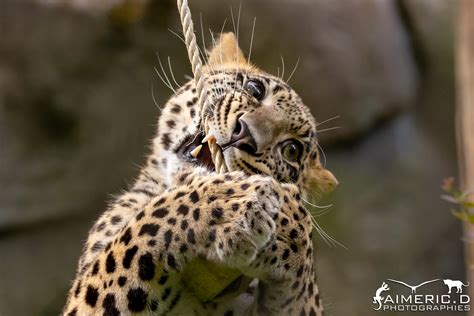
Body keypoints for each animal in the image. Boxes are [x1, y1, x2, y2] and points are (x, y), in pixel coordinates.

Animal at [62, 32, 336, 316]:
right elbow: (145, 226)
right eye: (254, 89)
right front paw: (228, 204)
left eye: (292, 150)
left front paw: (289, 224)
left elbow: (303, 291)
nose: (246, 135)